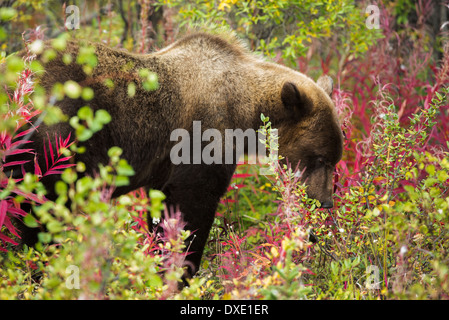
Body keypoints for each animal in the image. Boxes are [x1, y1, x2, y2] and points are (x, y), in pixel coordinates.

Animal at [7, 31, 344, 280]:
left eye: (335, 159)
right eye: (320, 159)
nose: (325, 202)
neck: (244, 112)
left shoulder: (163, 171)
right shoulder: (202, 140)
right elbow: (191, 209)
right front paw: (180, 271)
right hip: (54, 139)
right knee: (39, 209)